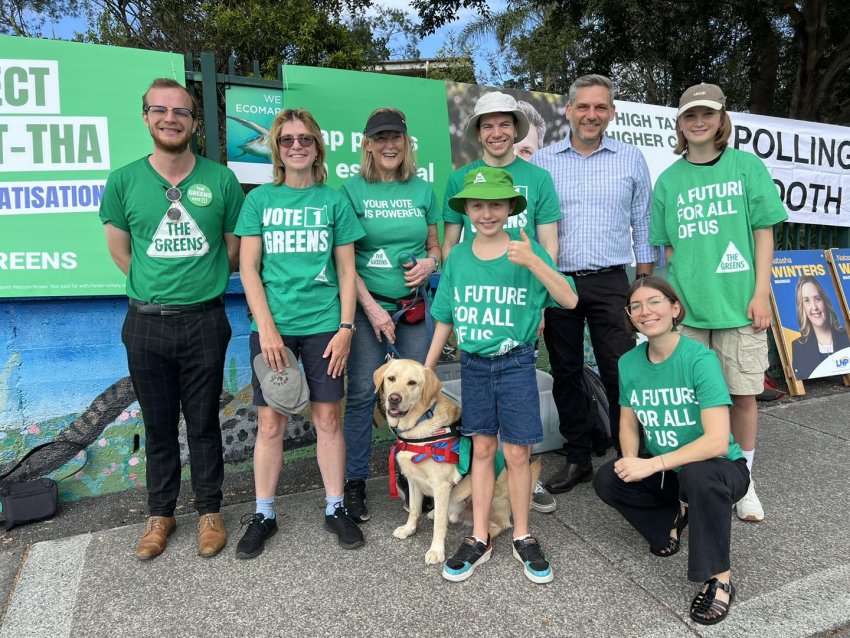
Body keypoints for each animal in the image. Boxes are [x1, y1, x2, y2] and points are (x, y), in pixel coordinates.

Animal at [374, 360, 540, 564]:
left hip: (489, 496)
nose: (394, 398)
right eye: (391, 378)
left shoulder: (441, 486)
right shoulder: (413, 481)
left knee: (500, 524)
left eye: (412, 383)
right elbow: (414, 509)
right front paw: (408, 529)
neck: (420, 423)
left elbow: (439, 525)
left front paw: (436, 551)